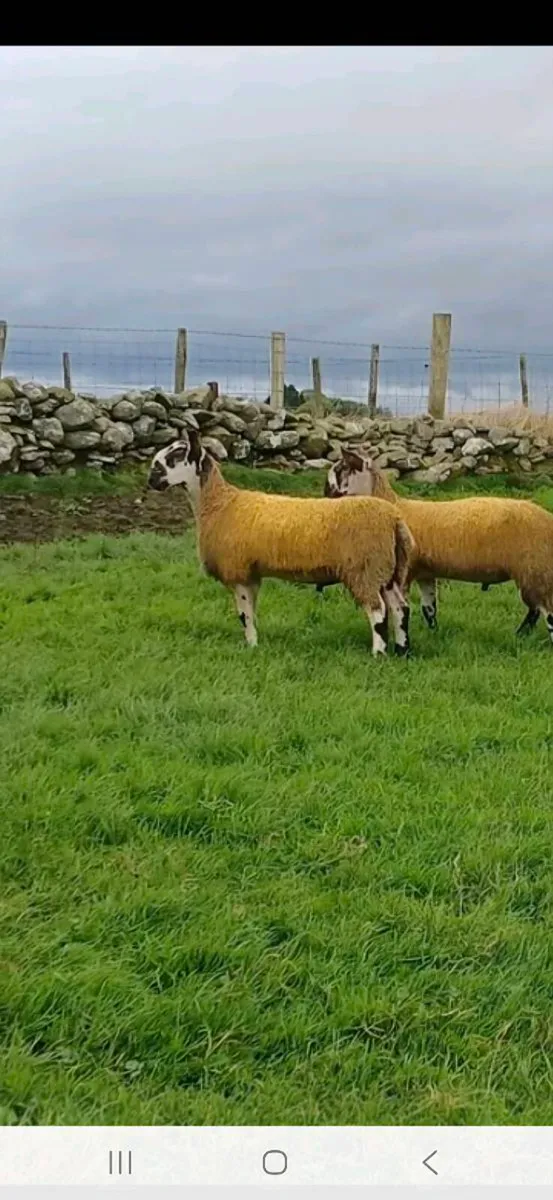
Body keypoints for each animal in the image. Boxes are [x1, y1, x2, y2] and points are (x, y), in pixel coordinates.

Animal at [147, 431, 416, 657]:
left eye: (176, 456)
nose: (151, 478)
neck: (219, 504)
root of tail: (395, 519)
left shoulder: (238, 571)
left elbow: (244, 615)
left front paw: (251, 646)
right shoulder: (251, 573)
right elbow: (252, 613)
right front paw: (254, 645)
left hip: (365, 569)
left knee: (378, 611)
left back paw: (378, 654)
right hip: (387, 569)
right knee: (400, 608)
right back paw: (402, 650)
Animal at [324, 447, 553, 643]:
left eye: (341, 468)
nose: (326, 494)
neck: (393, 504)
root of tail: (547, 518)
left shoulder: (406, 573)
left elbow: (399, 607)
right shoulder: (425, 572)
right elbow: (429, 609)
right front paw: (433, 634)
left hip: (535, 568)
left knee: (546, 611)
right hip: (533, 572)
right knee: (534, 610)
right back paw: (520, 635)